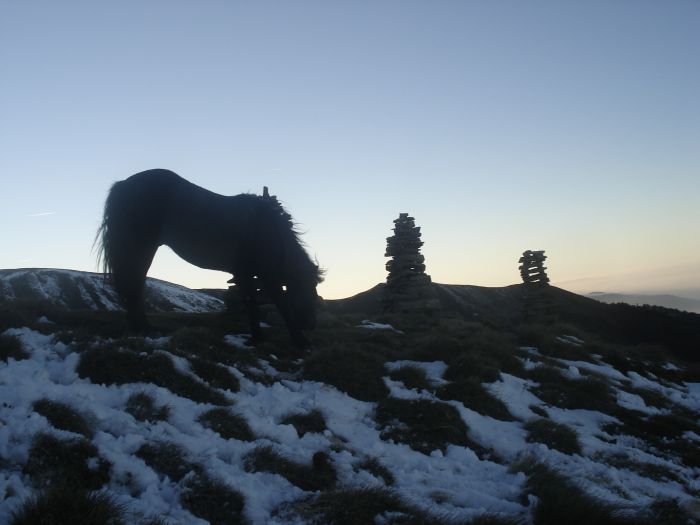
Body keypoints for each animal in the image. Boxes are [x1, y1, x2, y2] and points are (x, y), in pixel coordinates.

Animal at [94, 169, 322, 348]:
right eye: (307, 289)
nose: (311, 325)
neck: (269, 229)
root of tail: (123, 185)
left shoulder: (244, 274)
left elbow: (251, 303)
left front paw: (257, 337)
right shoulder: (266, 275)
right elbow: (281, 304)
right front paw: (300, 342)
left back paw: (140, 326)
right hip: (142, 248)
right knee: (134, 284)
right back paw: (144, 328)